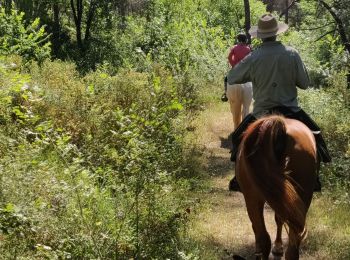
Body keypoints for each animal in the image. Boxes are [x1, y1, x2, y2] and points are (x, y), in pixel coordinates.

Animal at [237, 116, 318, 260]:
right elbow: (279, 219)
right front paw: (278, 247)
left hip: (252, 197)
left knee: (263, 237)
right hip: (302, 198)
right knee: (292, 245)